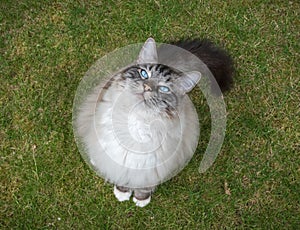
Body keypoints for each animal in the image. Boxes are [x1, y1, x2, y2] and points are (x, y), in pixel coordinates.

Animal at [74, 37, 233, 207]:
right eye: (144, 74)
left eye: (164, 89)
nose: (147, 87)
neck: (137, 121)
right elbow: (121, 175)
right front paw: (122, 193)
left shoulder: (150, 165)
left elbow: (143, 186)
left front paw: (140, 200)